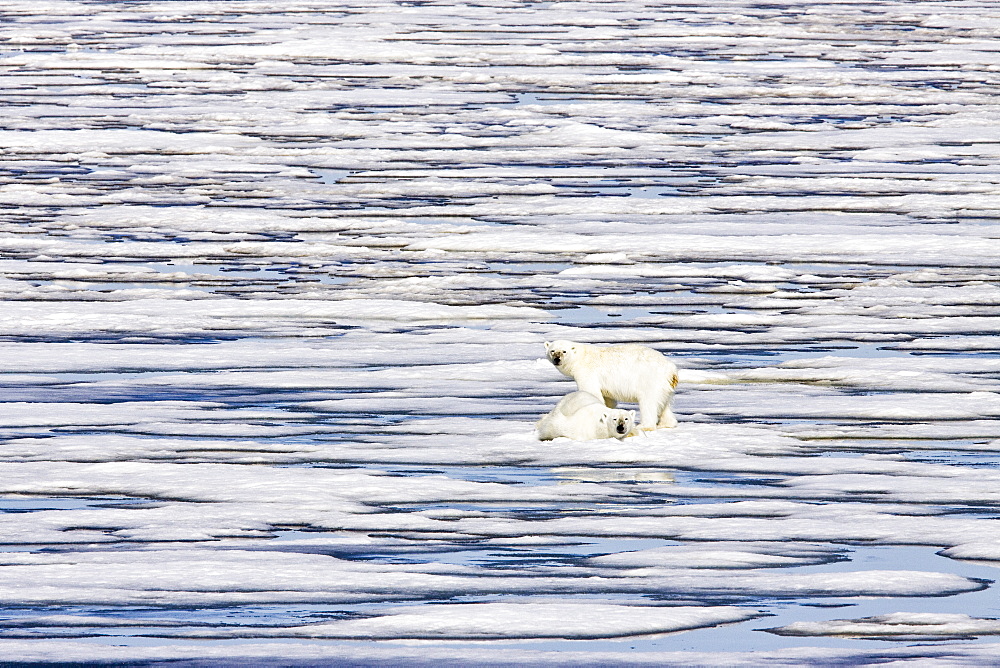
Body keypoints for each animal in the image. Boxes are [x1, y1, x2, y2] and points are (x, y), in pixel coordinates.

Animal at [548, 342, 680, 430]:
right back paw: (666, 424)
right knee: (663, 404)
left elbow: (591, 393)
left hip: (650, 379)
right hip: (664, 386)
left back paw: (644, 425)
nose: (557, 359)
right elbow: (608, 400)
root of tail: (672, 370)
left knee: (648, 402)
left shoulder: (587, 372)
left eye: (564, 351)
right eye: (552, 350)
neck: (581, 357)